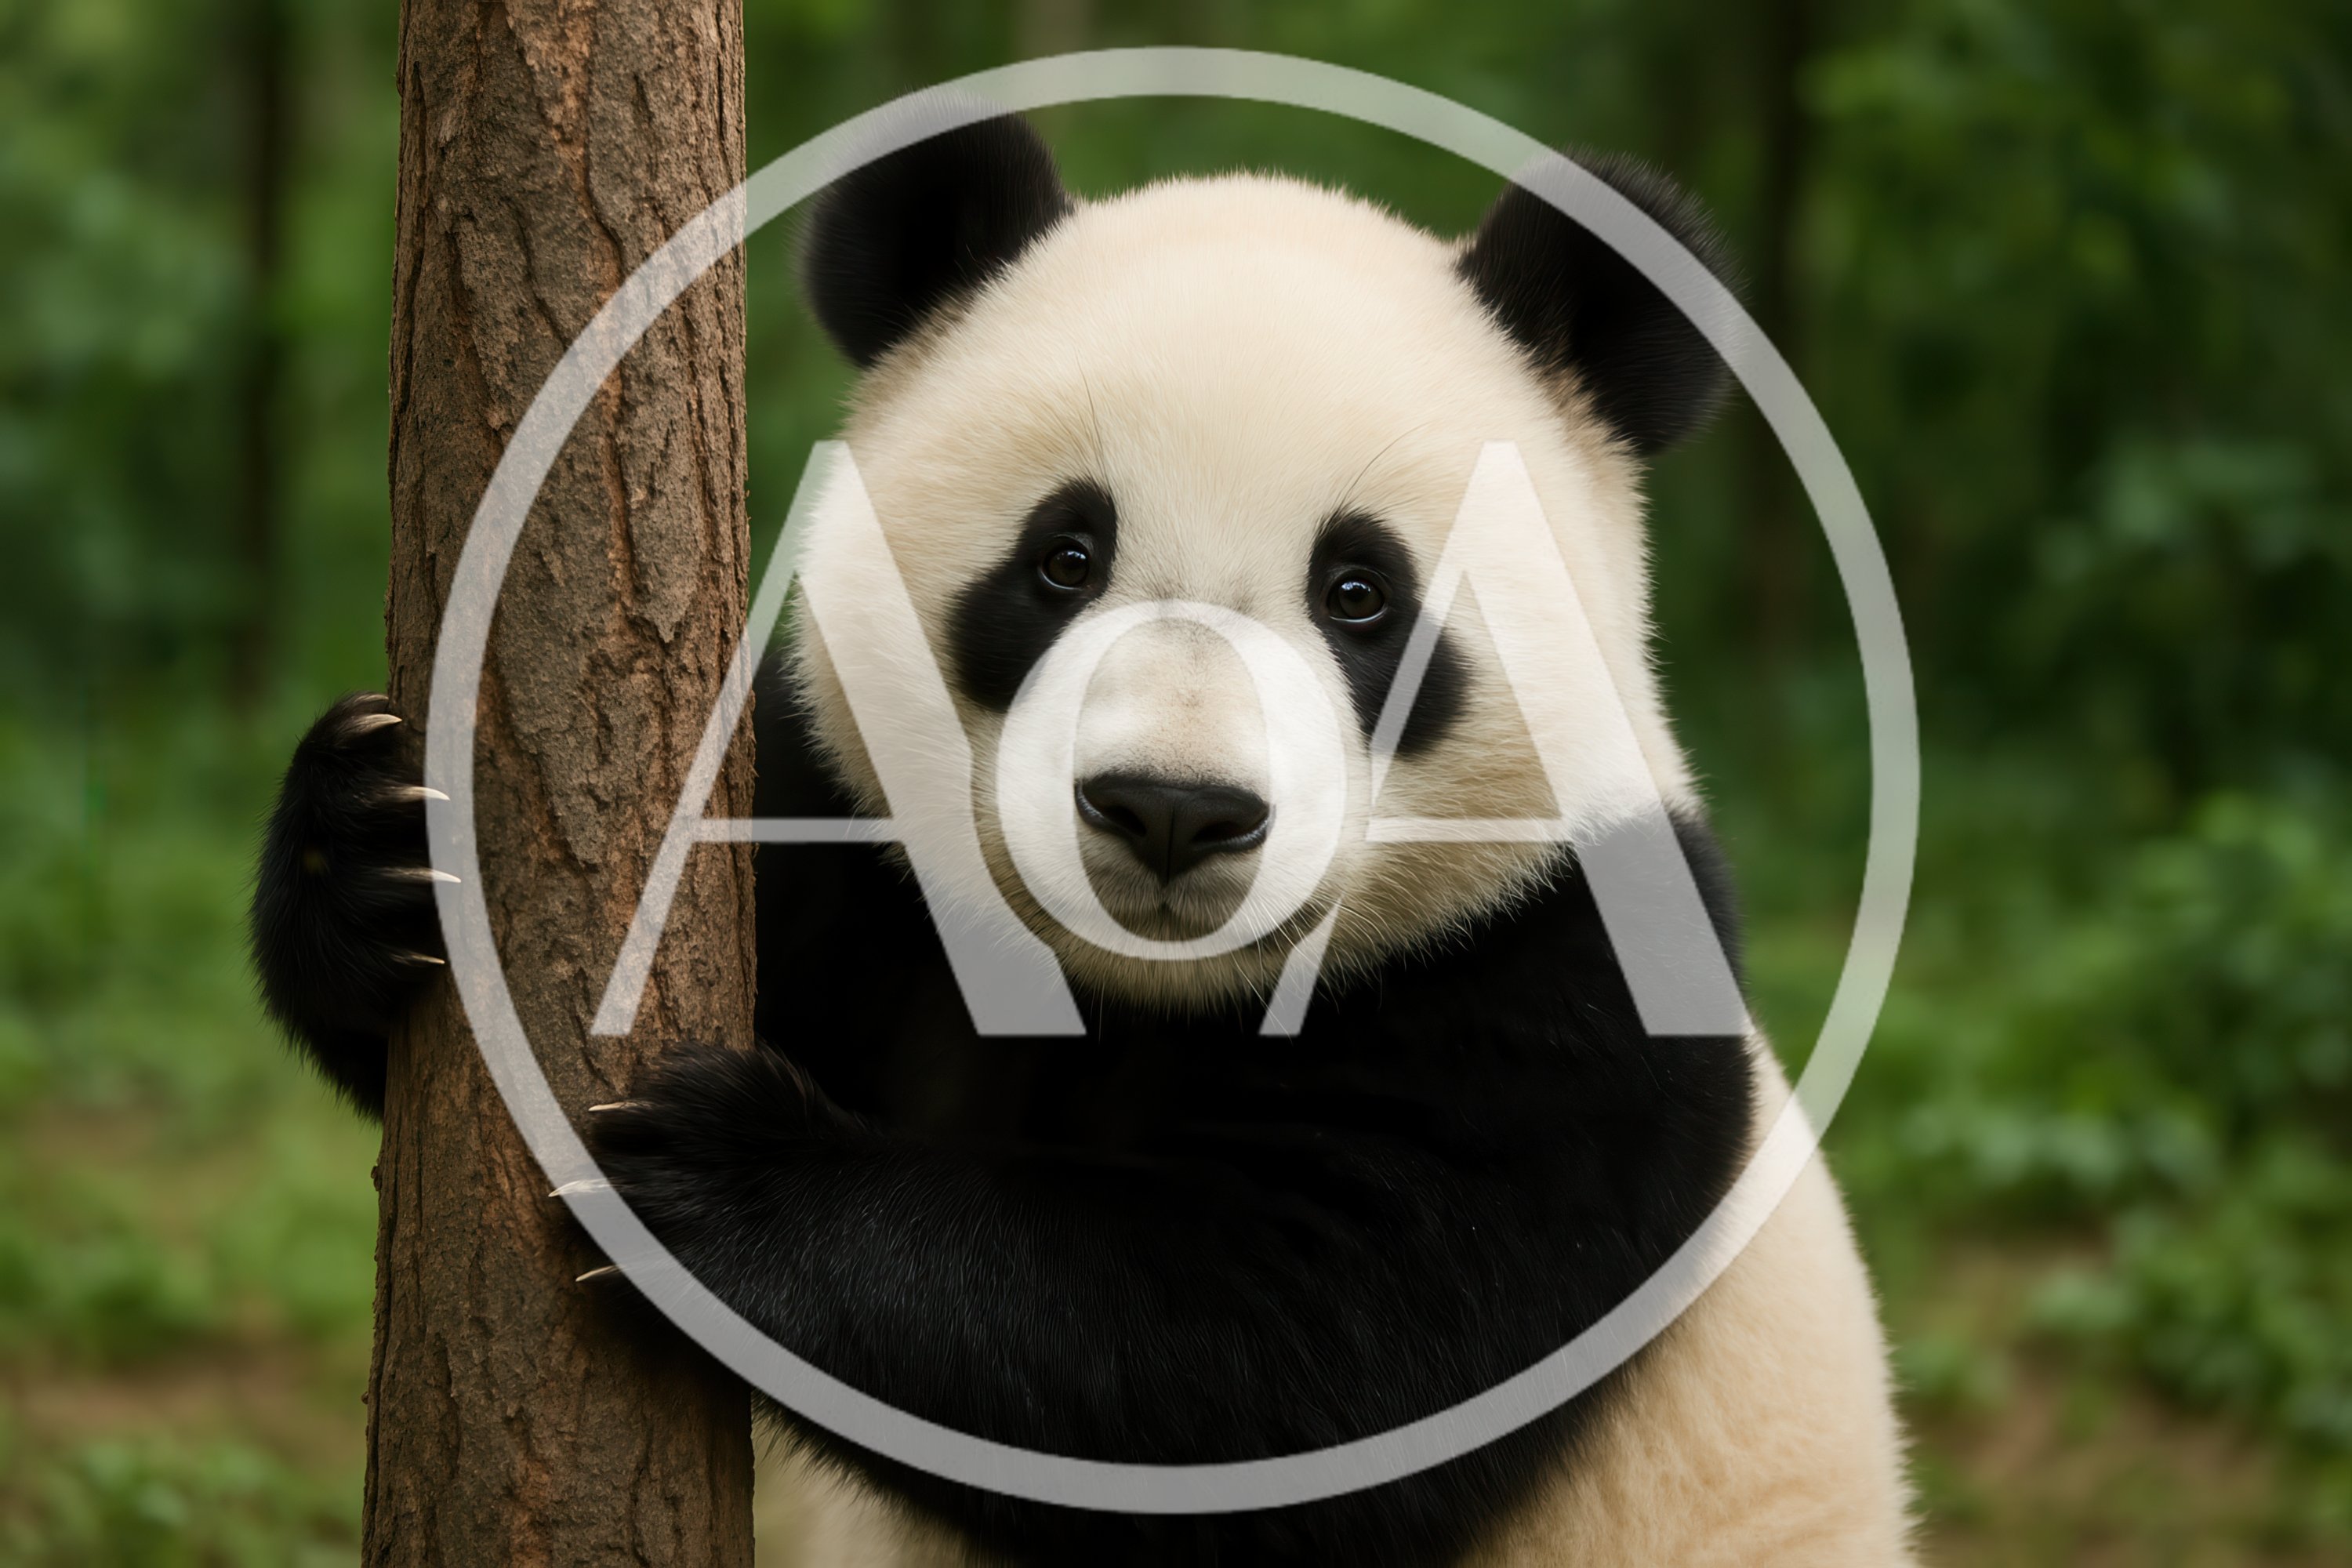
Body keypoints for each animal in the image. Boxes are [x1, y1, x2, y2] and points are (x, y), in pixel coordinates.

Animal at [251, 117, 1914, 1567]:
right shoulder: (865, 860)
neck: (1144, 993)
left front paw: (725, 1188)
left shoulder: (1572, 997)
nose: (1171, 807)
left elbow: (1273, 1370)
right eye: (1064, 559)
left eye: (1360, 596)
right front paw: (376, 849)